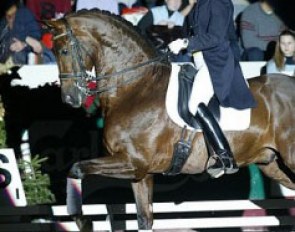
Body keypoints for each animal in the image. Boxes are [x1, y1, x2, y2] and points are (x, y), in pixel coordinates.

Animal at [44, 9, 295, 230]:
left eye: (63, 51)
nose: (69, 98)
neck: (137, 87)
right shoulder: (140, 174)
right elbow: (144, 220)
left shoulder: (133, 162)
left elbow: (76, 168)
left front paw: (82, 221)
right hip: (270, 164)